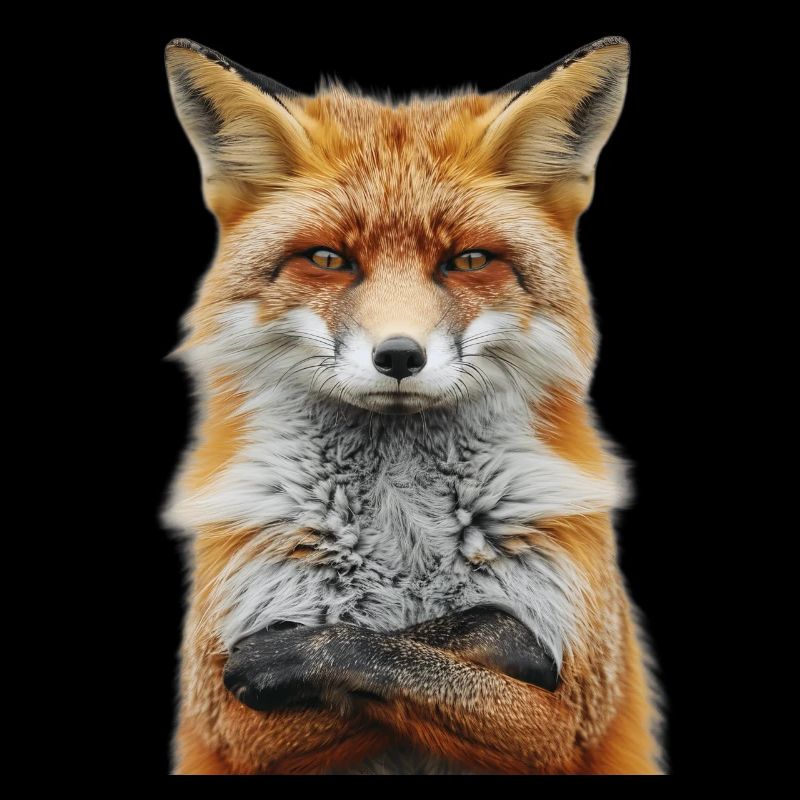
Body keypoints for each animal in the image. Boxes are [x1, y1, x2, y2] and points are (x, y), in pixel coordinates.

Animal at [163, 35, 664, 774]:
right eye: (328, 259)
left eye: (469, 261)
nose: (399, 357)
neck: (401, 529)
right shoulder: (228, 718)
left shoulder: (575, 709)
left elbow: (426, 652)